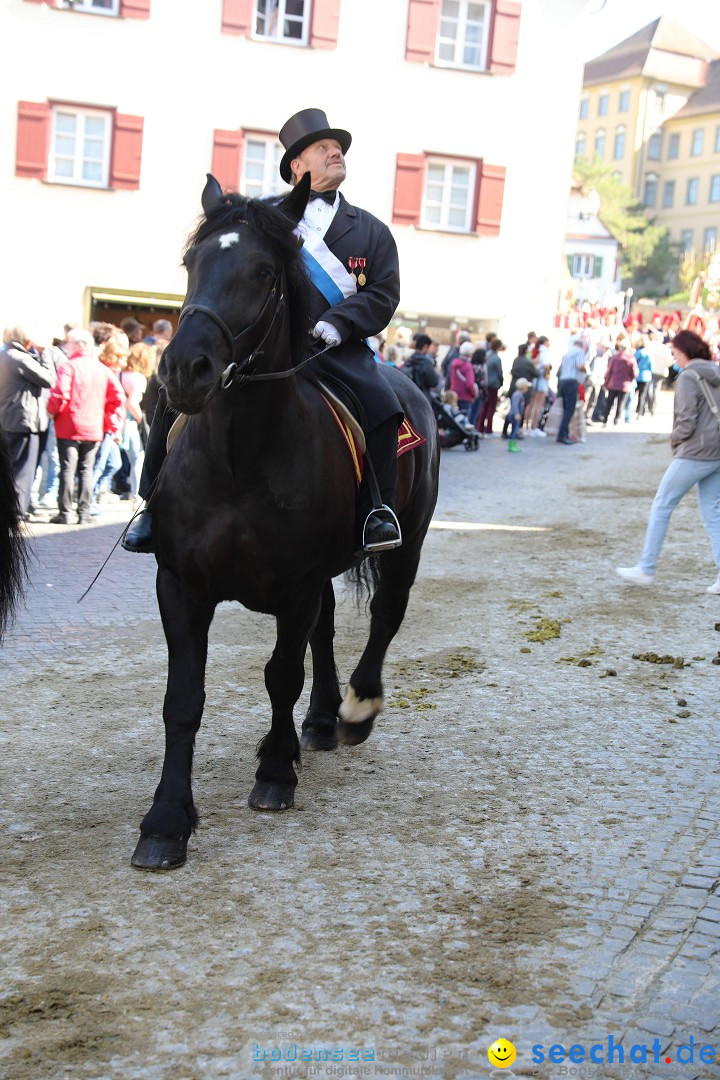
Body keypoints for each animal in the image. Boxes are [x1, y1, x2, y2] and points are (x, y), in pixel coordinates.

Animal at [133, 174, 440, 868]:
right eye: (191, 264)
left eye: (264, 272)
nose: (181, 369)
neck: (238, 459)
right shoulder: (181, 585)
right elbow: (183, 699)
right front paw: (165, 821)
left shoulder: (295, 584)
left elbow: (281, 674)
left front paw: (274, 772)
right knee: (326, 631)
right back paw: (322, 720)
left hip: (406, 542)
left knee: (385, 616)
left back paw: (355, 709)